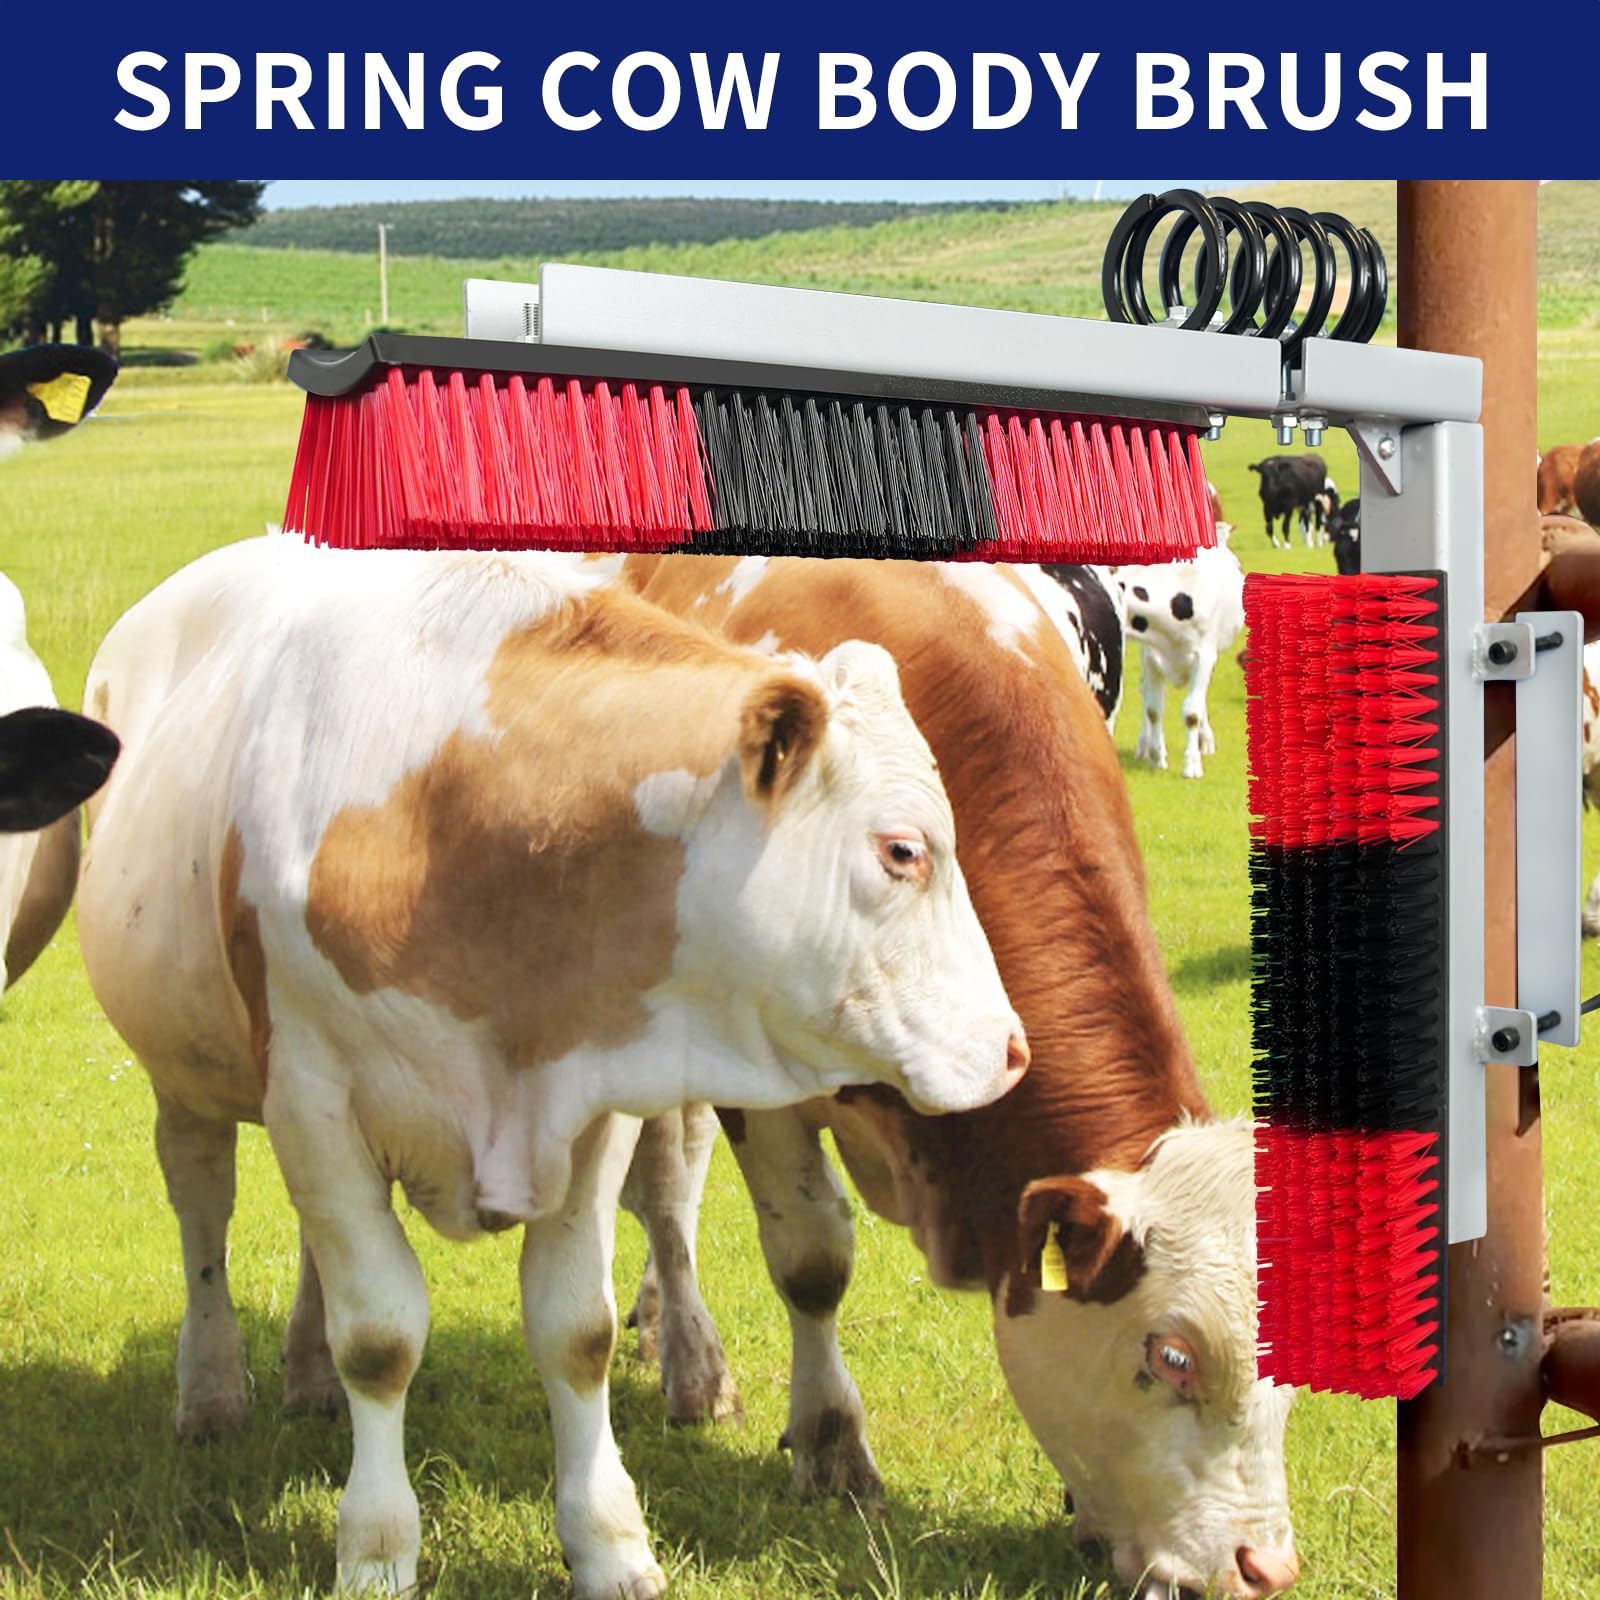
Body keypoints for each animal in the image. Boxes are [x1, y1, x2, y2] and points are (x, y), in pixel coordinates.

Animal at [75, 535, 1028, 1600]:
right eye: (902, 850)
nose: (1011, 1047)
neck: (458, 828)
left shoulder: (588, 1108)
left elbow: (577, 1332)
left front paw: (611, 1546)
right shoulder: (314, 1098)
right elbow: (381, 1339)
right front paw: (376, 1546)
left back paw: (306, 1379)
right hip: (183, 1075)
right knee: (203, 1207)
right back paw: (210, 1391)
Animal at [1112, 533, 1246, 780]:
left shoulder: (1204, 657)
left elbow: (1192, 711)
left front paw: (1192, 764)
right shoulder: (1152, 656)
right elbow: (1153, 709)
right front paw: (1157, 758)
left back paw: (1205, 741)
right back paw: (1144, 746)